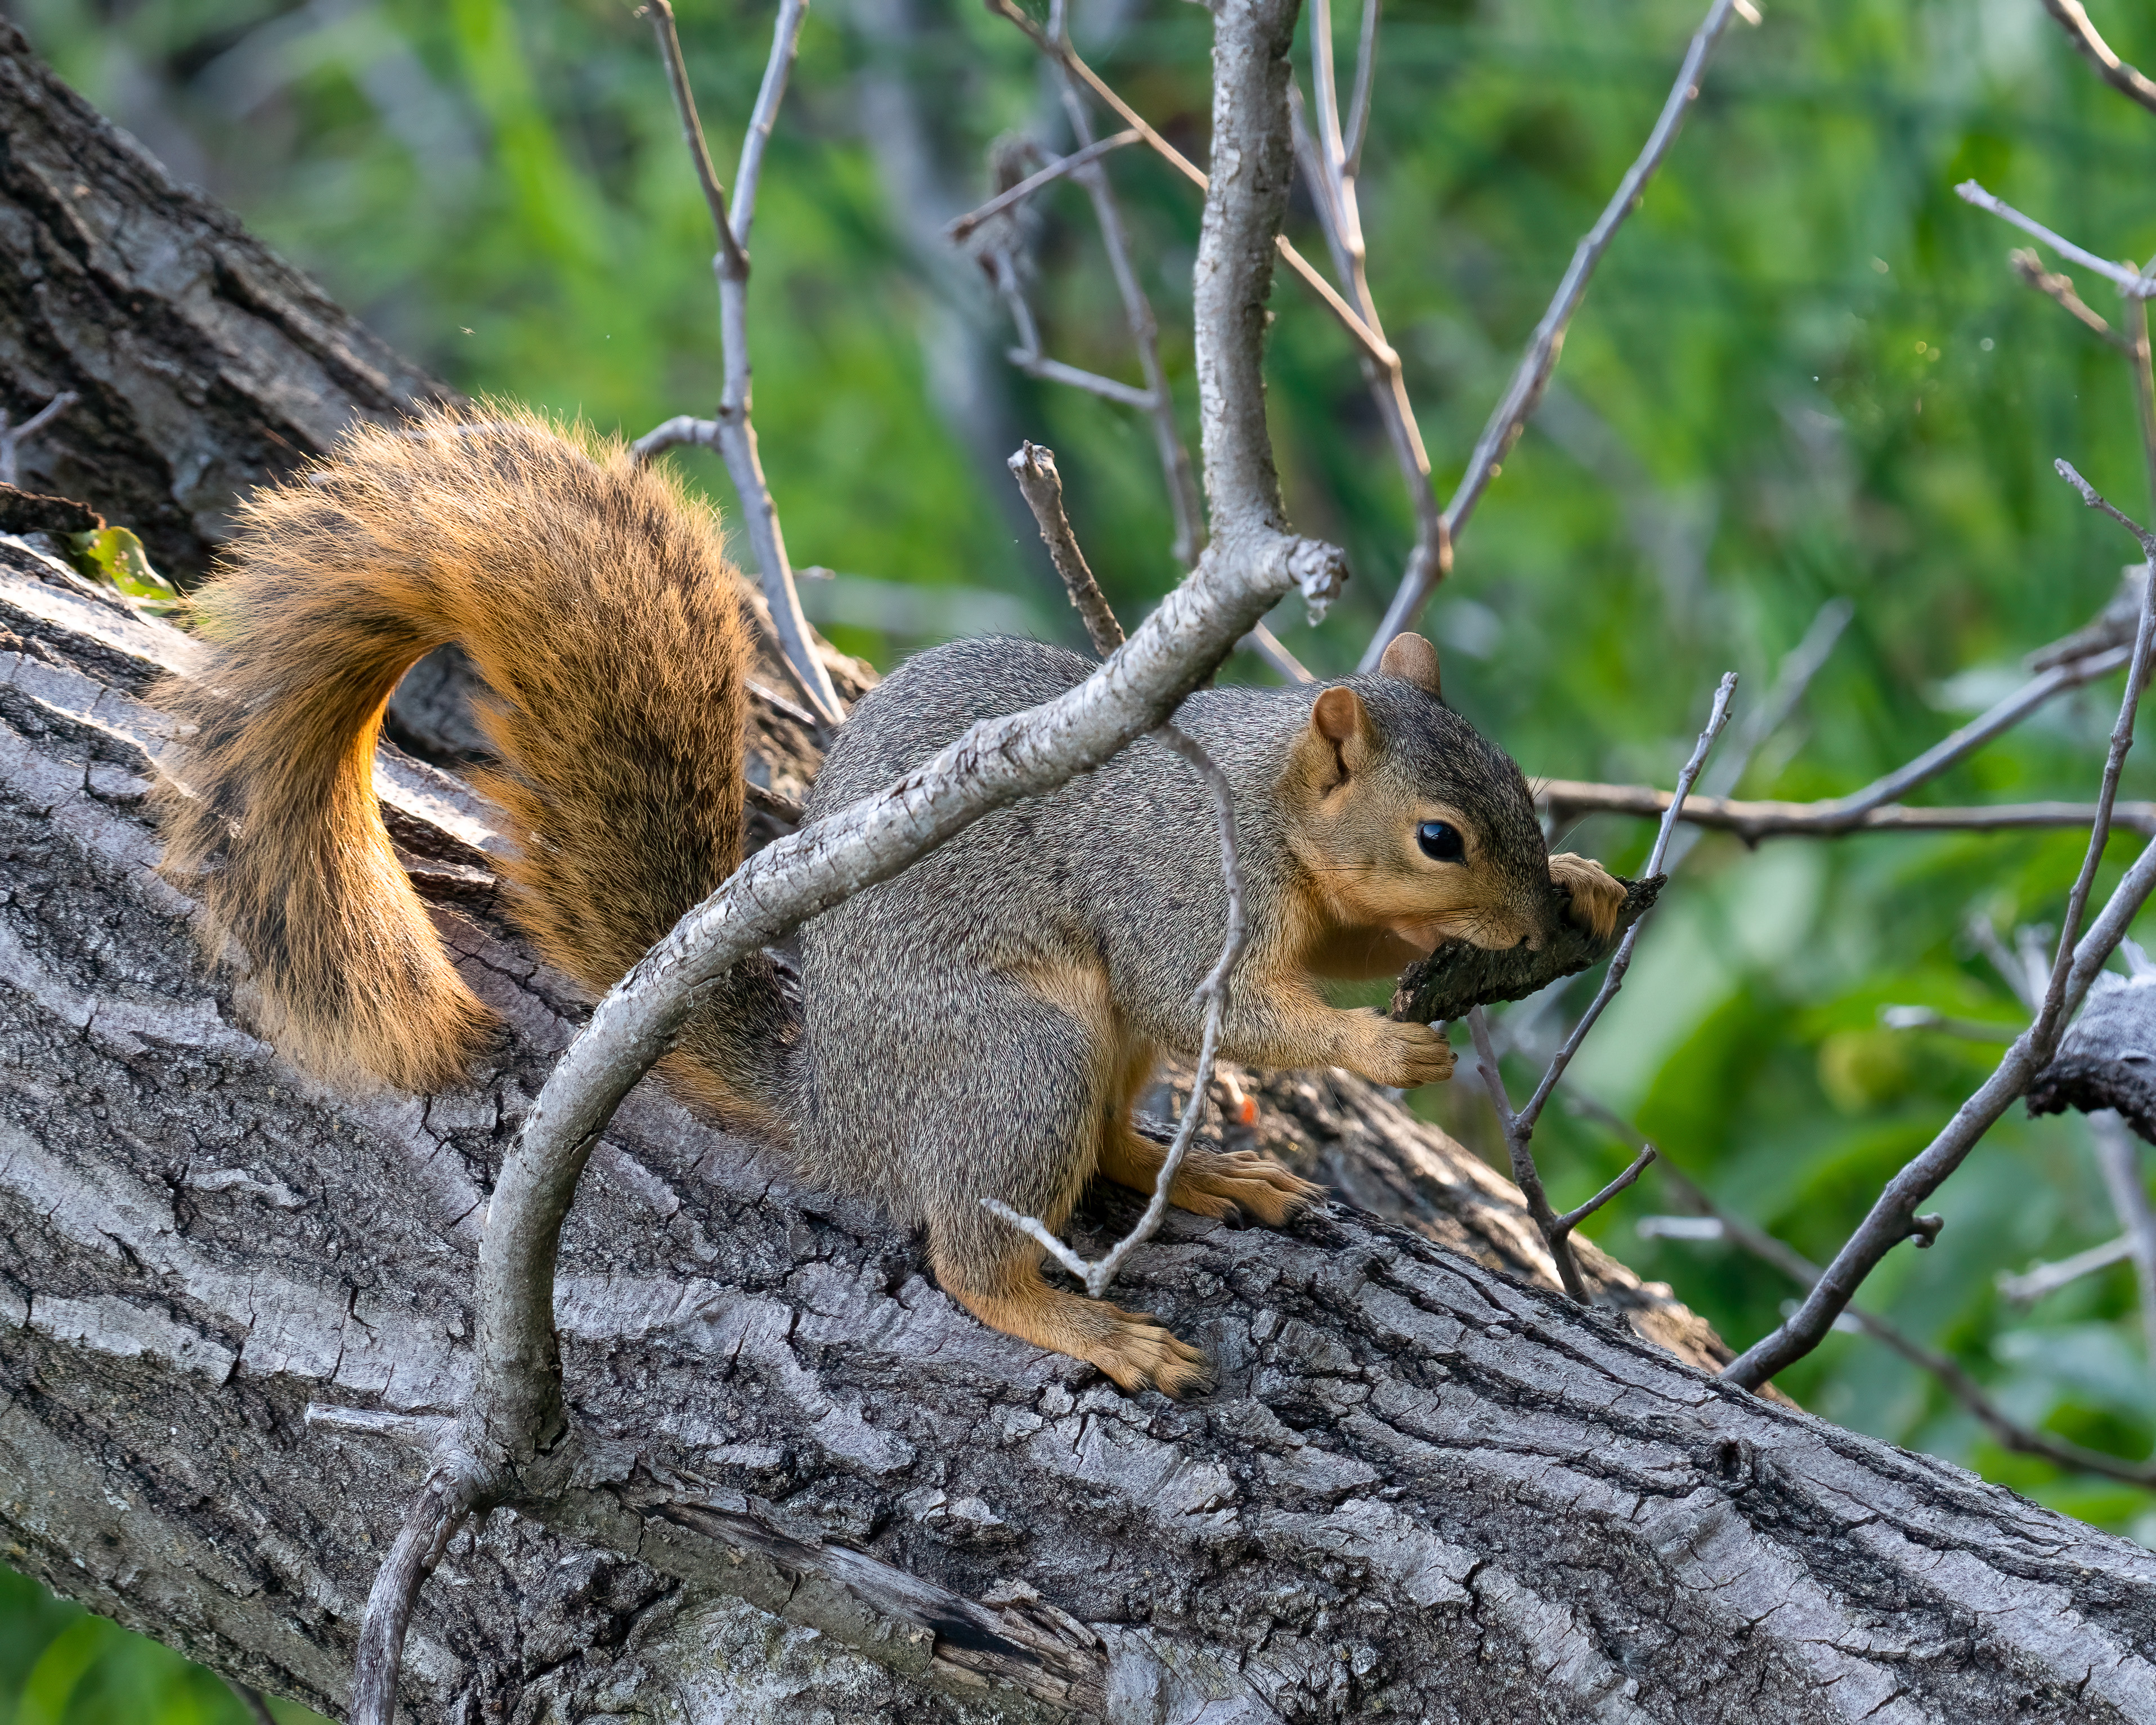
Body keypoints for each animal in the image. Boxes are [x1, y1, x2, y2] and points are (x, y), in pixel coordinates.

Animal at [155, 406, 1627, 1397]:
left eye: (1513, 783)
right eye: (1439, 834)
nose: (1529, 917)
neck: (1269, 802)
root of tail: (841, 1110)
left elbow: (1354, 944)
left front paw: (1587, 885)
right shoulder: (1181, 887)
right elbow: (1228, 1002)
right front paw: (1382, 1043)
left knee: (1102, 1147)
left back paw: (1200, 1166)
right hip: (1017, 1051)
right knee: (974, 1253)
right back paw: (1091, 1322)